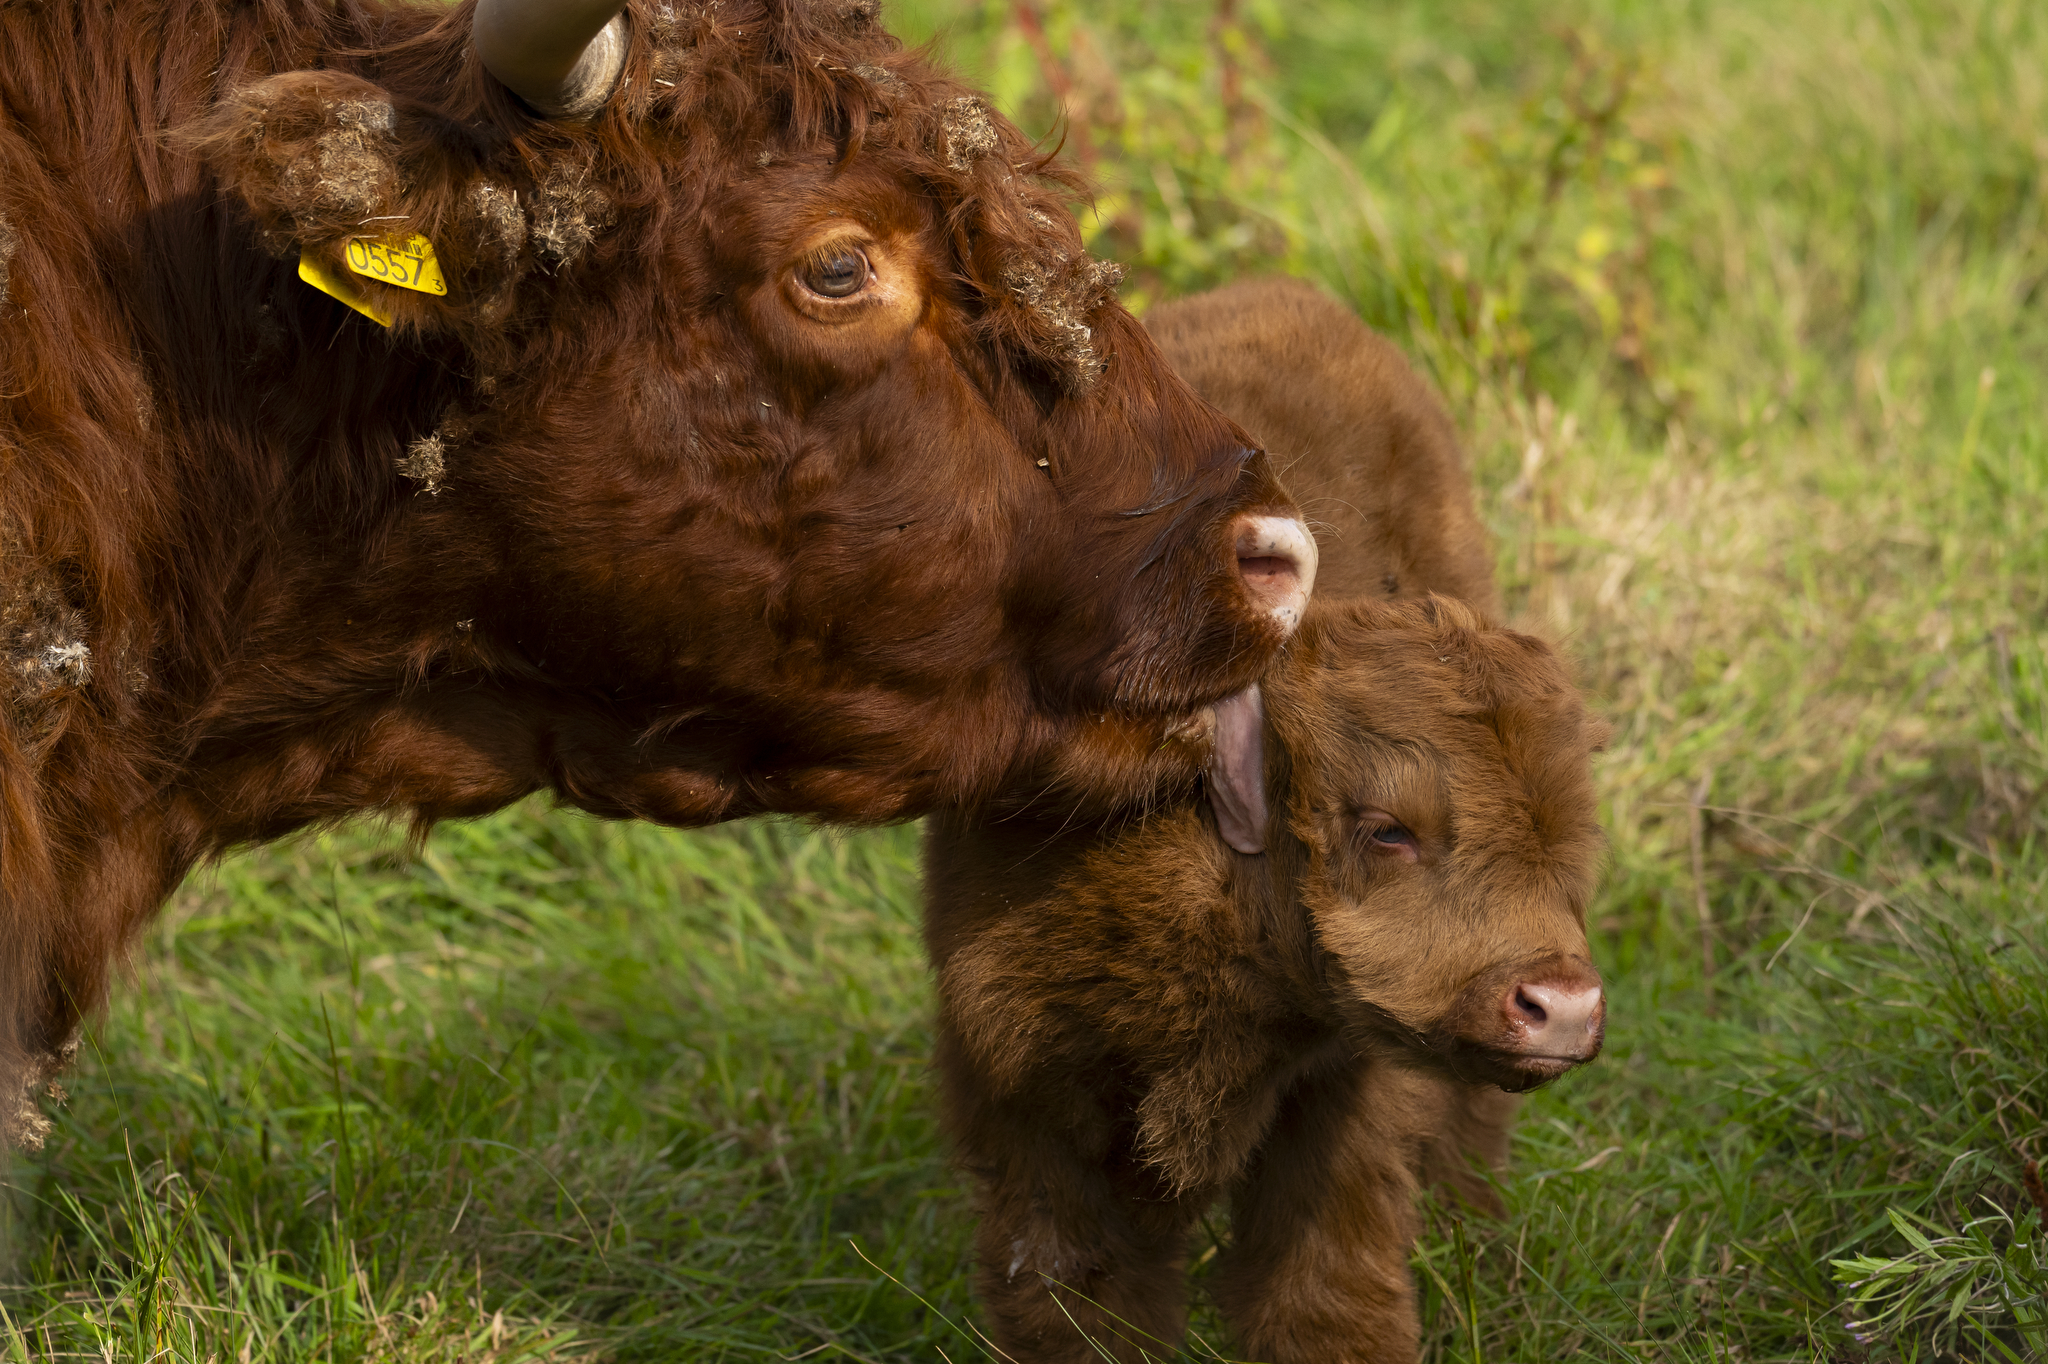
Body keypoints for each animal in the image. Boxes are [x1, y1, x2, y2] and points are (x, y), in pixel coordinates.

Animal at [920, 282, 1606, 1363]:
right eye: (1386, 828)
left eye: (1572, 845)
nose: (1563, 1005)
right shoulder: (1025, 1100)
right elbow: (1077, 1300)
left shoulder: (1340, 1100)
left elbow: (1322, 1291)